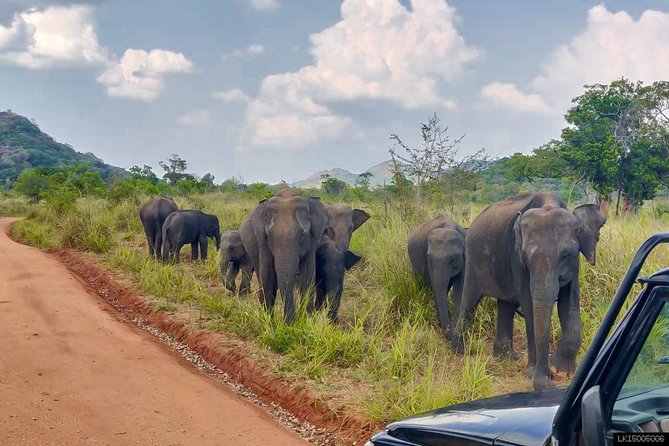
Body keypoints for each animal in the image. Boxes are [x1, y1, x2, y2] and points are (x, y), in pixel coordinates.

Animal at [240, 188, 328, 323]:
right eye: (269, 235)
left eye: (302, 235)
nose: (288, 323)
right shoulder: (263, 242)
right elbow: (268, 275)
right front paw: (269, 322)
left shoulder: (311, 241)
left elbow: (308, 275)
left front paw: (306, 321)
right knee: (261, 278)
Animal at [451, 192, 606, 390]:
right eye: (526, 257)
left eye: (565, 255)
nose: (548, 382)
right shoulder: (517, 258)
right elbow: (530, 305)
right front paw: (534, 374)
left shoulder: (575, 263)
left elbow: (570, 303)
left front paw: (560, 371)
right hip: (473, 259)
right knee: (469, 301)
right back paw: (459, 351)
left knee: (506, 305)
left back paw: (506, 358)